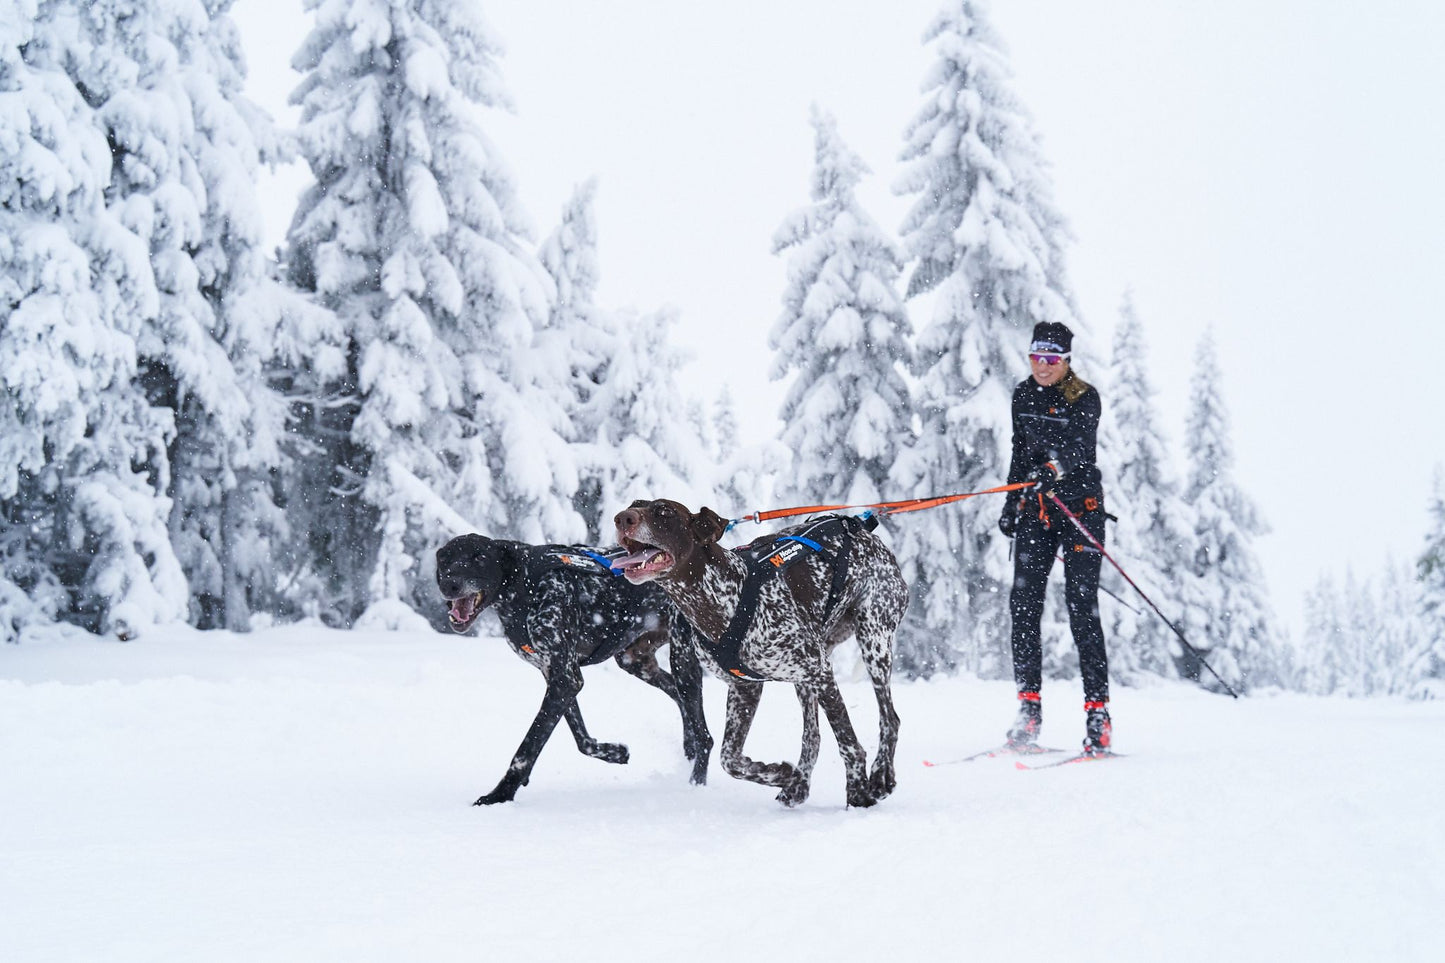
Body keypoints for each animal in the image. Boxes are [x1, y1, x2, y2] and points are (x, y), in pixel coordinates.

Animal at [436, 532, 713, 803]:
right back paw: (687, 750)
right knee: (677, 697)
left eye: (479, 557)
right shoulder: (558, 676)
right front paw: (613, 752)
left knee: (705, 737)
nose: (450, 583)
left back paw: (695, 786)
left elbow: (528, 746)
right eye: (445, 559)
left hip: (682, 658)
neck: (524, 584)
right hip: (634, 659)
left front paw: (500, 794)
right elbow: (583, 741)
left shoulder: (565, 679)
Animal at [615, 494, 907, 803]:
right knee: (812, 736)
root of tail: (866, 533)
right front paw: (780, 773)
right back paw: (799, 783)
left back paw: (881, 774)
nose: (622, 518)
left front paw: (858, 792)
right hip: (806, 680)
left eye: (664, 511)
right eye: (634, 503)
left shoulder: (819, 670)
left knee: (890, 718)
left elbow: (848, 741)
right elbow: (729, 758)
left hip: (873, 642)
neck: (723, 598)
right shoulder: (745, 688)